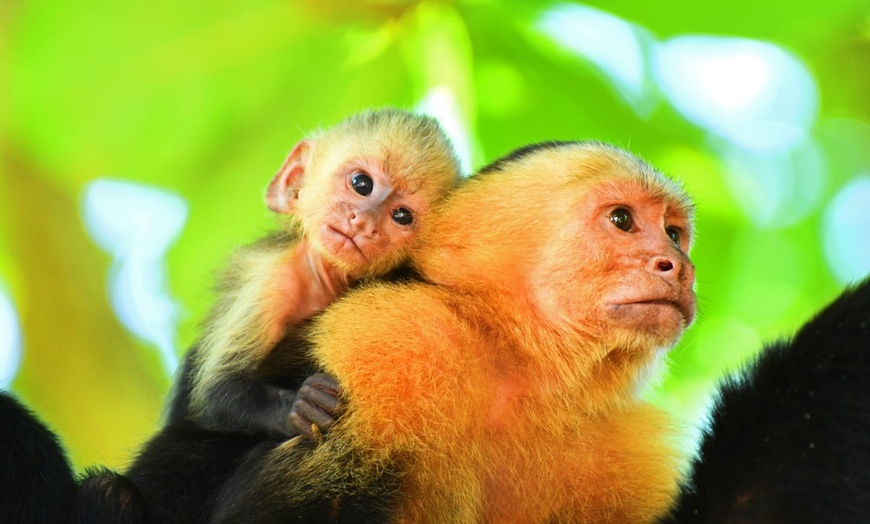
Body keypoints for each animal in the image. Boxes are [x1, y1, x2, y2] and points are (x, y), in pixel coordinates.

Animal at [174, 108, 464, 440]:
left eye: (401, 215)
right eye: (362, 184)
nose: (365, 222)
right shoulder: (274, 282)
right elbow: (215, 392)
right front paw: (298, 407)